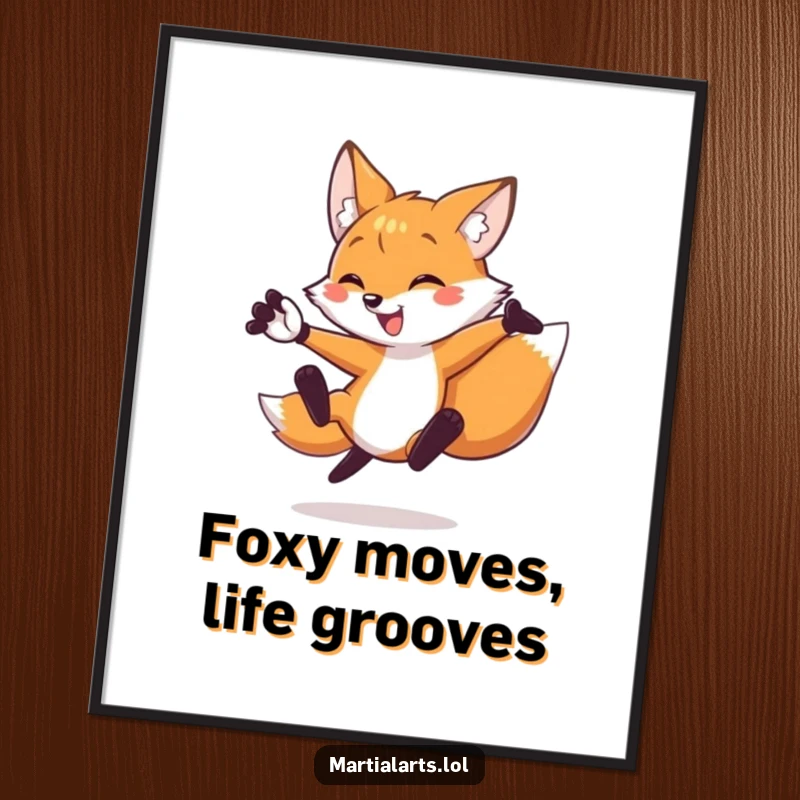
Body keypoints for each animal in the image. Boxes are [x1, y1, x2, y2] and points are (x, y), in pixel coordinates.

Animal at [246, 141, 568, 483]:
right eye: (353, 280)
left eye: (423, 281)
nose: (372, 299)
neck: (404, 353)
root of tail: (376, 451)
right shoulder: (370, 357)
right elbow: (343, 349)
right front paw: (288, 324)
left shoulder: (445, 354)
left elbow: (473, 340)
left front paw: (516, 319)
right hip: (346, 405)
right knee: (329, 411)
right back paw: (313, 389)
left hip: (410, 437)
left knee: (418, 457)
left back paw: (442, 427)